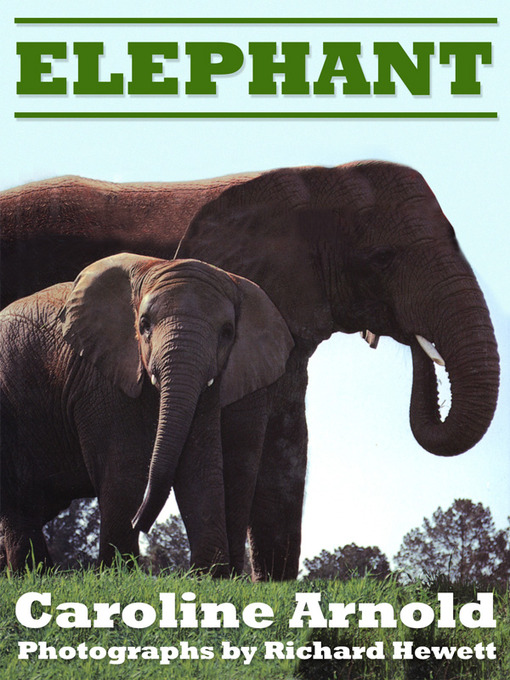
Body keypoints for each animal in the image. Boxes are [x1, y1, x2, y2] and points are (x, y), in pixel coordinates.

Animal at [0, 253, 293, 573]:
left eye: (227, 332)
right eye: (144, 324)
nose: (140, 522)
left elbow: (199, 466)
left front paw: (208, 576)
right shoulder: (99, 375)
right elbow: (125, 467)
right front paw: (118, 573)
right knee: (18, 500)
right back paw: (32, 573)